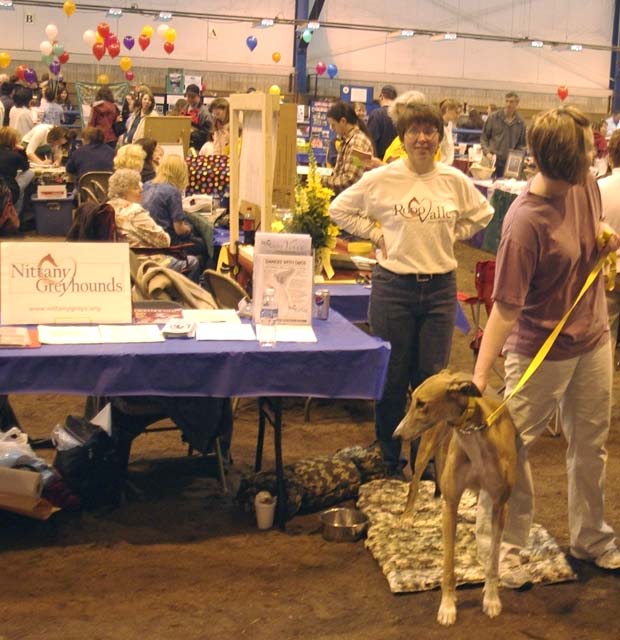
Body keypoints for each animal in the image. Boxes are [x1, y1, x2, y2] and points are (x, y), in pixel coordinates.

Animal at [392, 370, 520, 624]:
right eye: (412, 401)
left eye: (422, 404)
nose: (396, 434)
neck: (474, 431)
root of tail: (452, 372)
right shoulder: (450, 504)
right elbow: (448, 566)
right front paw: (448, 607)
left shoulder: (500, 504)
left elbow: (493, 560)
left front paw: (491, 599)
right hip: (426, 446)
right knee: (415, 482)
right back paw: (408, 515)